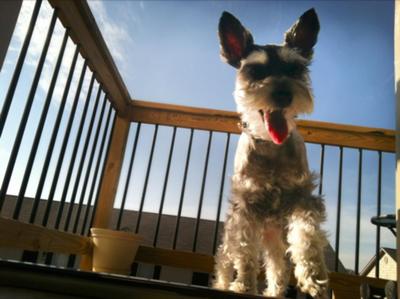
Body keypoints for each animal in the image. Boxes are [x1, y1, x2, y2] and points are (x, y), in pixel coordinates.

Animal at [212, 8, 328, 298]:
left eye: (295, 69)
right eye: (255, 71)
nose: (284, 94)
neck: (271, 146)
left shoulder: (302, 197)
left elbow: (307, 235)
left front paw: (314, 276)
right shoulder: (246, 207)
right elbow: (245, 253)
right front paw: (243, 285)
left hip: (275, 236)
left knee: (278, 267)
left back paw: (275, 291)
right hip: (234, 236)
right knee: (227, 260)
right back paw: (224, 284)